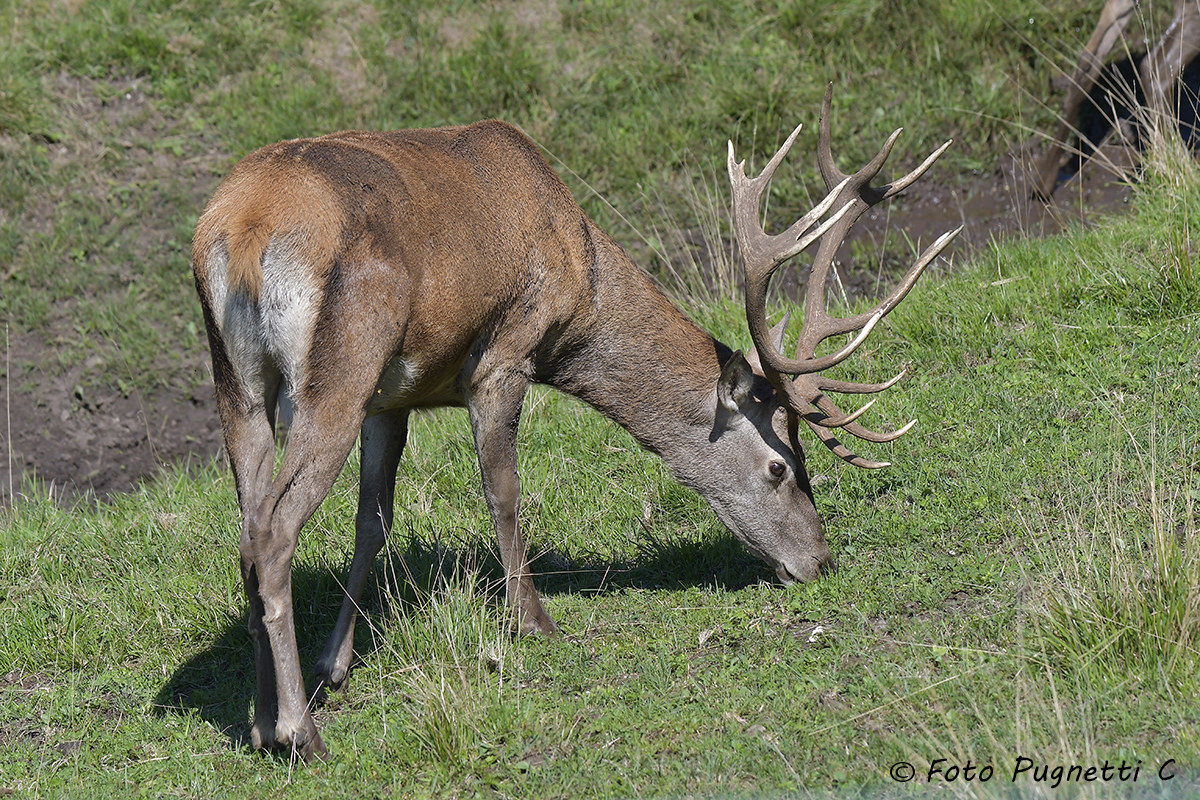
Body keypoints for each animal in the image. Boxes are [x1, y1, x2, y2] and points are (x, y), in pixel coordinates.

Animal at [191, 85, 958, 761]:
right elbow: (503, 493)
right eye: (782, 466)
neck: (580, 280)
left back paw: (261, 720)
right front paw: (533, 621)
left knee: (248, 529)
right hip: (338, 370)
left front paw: (337, 663)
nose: (821, 560)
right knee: (273, 531)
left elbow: (372, 524)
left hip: (240, 382)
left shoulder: (392, 397)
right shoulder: (503, 356)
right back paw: (299, 733)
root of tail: (243, 232)